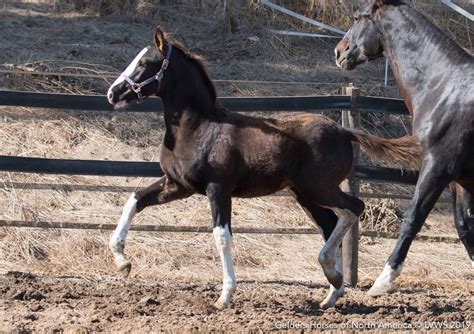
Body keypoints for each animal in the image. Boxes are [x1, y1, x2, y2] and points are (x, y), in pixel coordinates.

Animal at [107, 26, 422, 310]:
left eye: (145, 63)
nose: (113, 93)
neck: (197, 128)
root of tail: (346, 132)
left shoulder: (217, 189)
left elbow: (222, 236)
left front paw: (225, 296)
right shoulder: (178, 185)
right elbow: (134, 199)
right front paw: (122, 262)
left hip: (318, 188)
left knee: (354, 208)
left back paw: (332, 276)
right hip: (305, 194)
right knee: (333, 222)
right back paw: (332, 290)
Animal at [334, 0, 474, 296]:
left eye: (357, 17)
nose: (339, 51)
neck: (445, 87)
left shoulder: (437, 167)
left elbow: (412, 219)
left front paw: (383, 281)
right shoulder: (460, 178)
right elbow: (465, 225)